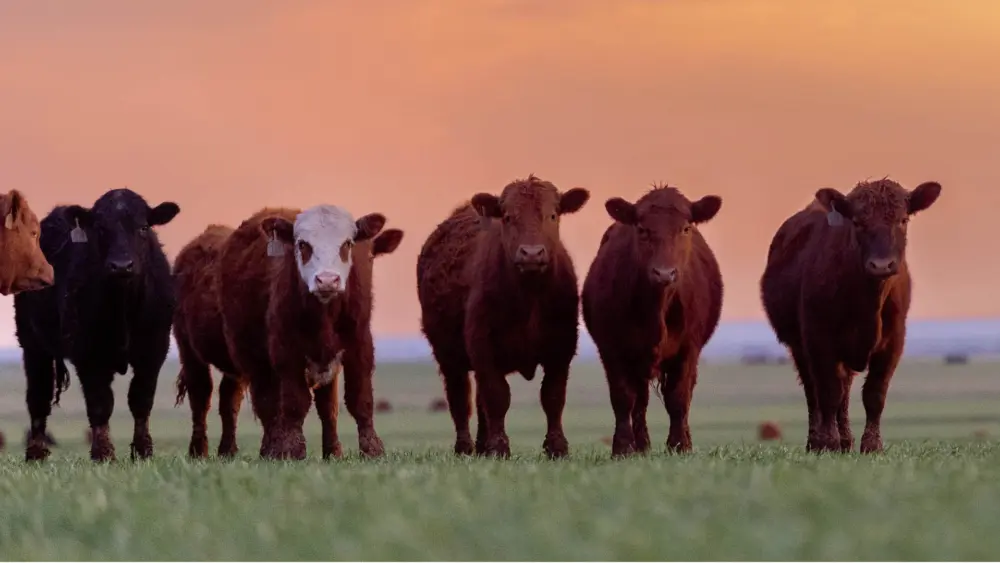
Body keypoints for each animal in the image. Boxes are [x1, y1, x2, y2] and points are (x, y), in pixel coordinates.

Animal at [14, 188, 180, 462]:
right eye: (100, 229)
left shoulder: (155, 350)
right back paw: (36, 453)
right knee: (38, 397)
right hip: (32, 344)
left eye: (143, 227)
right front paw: (103, 453)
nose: (121, 266)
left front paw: (143, 450)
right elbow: (100, 403)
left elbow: (141, 399)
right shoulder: (89, 355)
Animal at [175, 224, 403, 459]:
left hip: (235, 366)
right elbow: (282, 405)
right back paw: (198, 451)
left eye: (371, 256)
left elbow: (337, 404)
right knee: (200, 396)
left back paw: (227, 451)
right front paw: (280, 450)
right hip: (189, 351)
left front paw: (338, 452)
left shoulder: (344, 353)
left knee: (229, 400)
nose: (334, 281)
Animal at [416, 175, 589, 458]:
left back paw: (482, 445)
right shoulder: (483, 347)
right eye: (508, 217)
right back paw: (465, 447)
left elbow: (552, 397)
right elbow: (497, 397)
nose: (531, 253)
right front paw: (499, 447)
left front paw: (557, 447)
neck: (529, 298)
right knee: (459, 398)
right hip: (447, 354)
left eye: (552, 215)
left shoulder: (561, 348)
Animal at [582, 186, 723, 456]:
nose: (664, 273)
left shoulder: (689, 348)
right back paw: (641, 444)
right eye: (642, 229)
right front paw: (623, 447)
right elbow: (623, 397)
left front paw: (679, 445)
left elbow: (678, 397)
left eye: (685, 228)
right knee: (640, 400)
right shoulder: (611, 349)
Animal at [760, 178, 941, 453]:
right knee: (813, 393)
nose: (881, 265)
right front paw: (827, 442)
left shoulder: (893, 342)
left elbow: (874, 394)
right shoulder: (818, 339)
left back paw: (846, 439)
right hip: (799, 346)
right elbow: (828, 392)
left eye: (903, 220)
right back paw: (817, 441)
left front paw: (871, 444)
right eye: (857, 222)